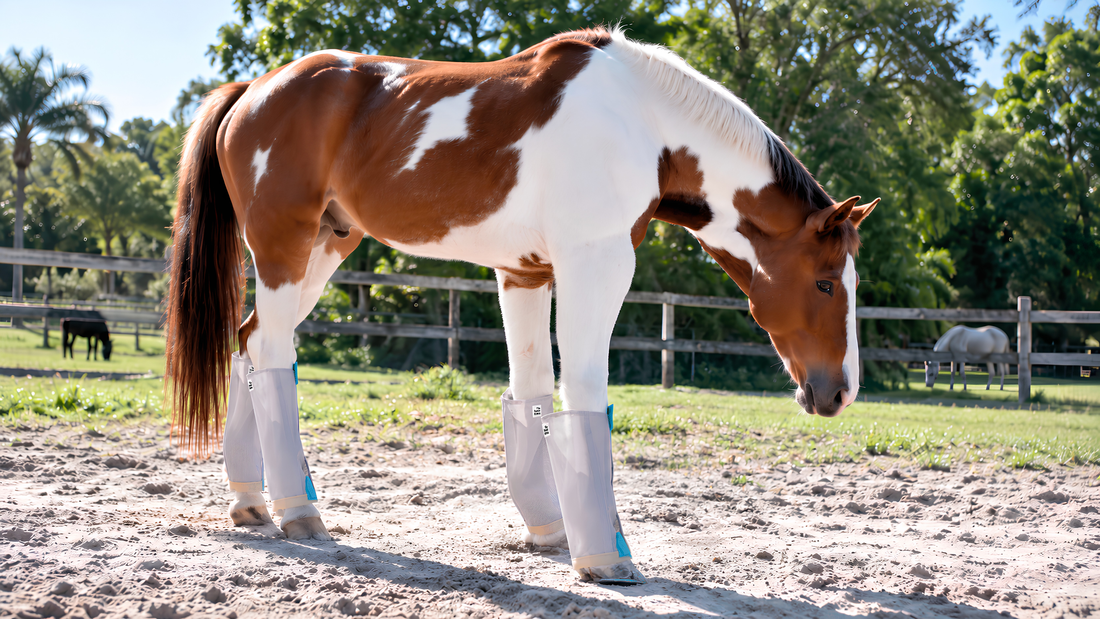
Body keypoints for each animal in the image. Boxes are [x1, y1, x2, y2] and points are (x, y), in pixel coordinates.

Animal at [164, 27, 878, 585]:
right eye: (825, 283)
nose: (840, 392)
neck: (642, 125)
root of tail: (254, 90)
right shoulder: (597, 265)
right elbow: (583, 393)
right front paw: (604, 558)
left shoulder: (524, 274)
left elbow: (531, 393)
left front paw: (549, 531)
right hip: (283, 249)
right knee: (271, 353)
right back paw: (299, 512)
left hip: (324, 247)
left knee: (250, 345)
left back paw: (252, 503)